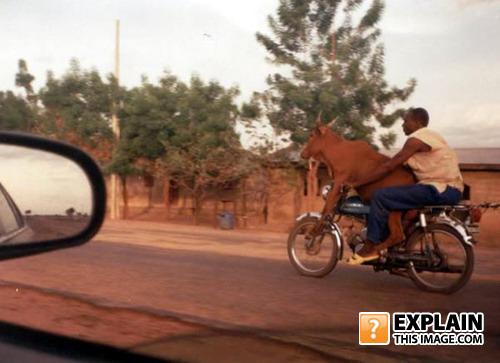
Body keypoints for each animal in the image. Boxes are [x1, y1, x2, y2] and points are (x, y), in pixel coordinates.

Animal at [300, 119, 414, 253]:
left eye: (311, 135)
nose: (303, 154)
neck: (337, 151)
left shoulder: (339, 181)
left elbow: (326, 208)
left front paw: (312, 233)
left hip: (394, 210)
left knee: (398, 234)